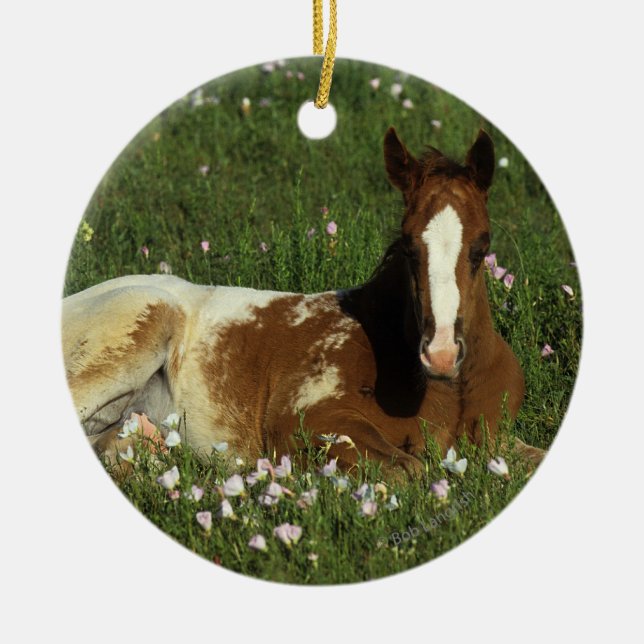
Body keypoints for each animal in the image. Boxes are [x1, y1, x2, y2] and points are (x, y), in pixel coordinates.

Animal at [62, 127, 544, 479]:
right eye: (408, 248)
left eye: (482, 248)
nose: (441, 353)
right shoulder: (302, 419)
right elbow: (409, 471)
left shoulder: (499, 440)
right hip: (140, 326)